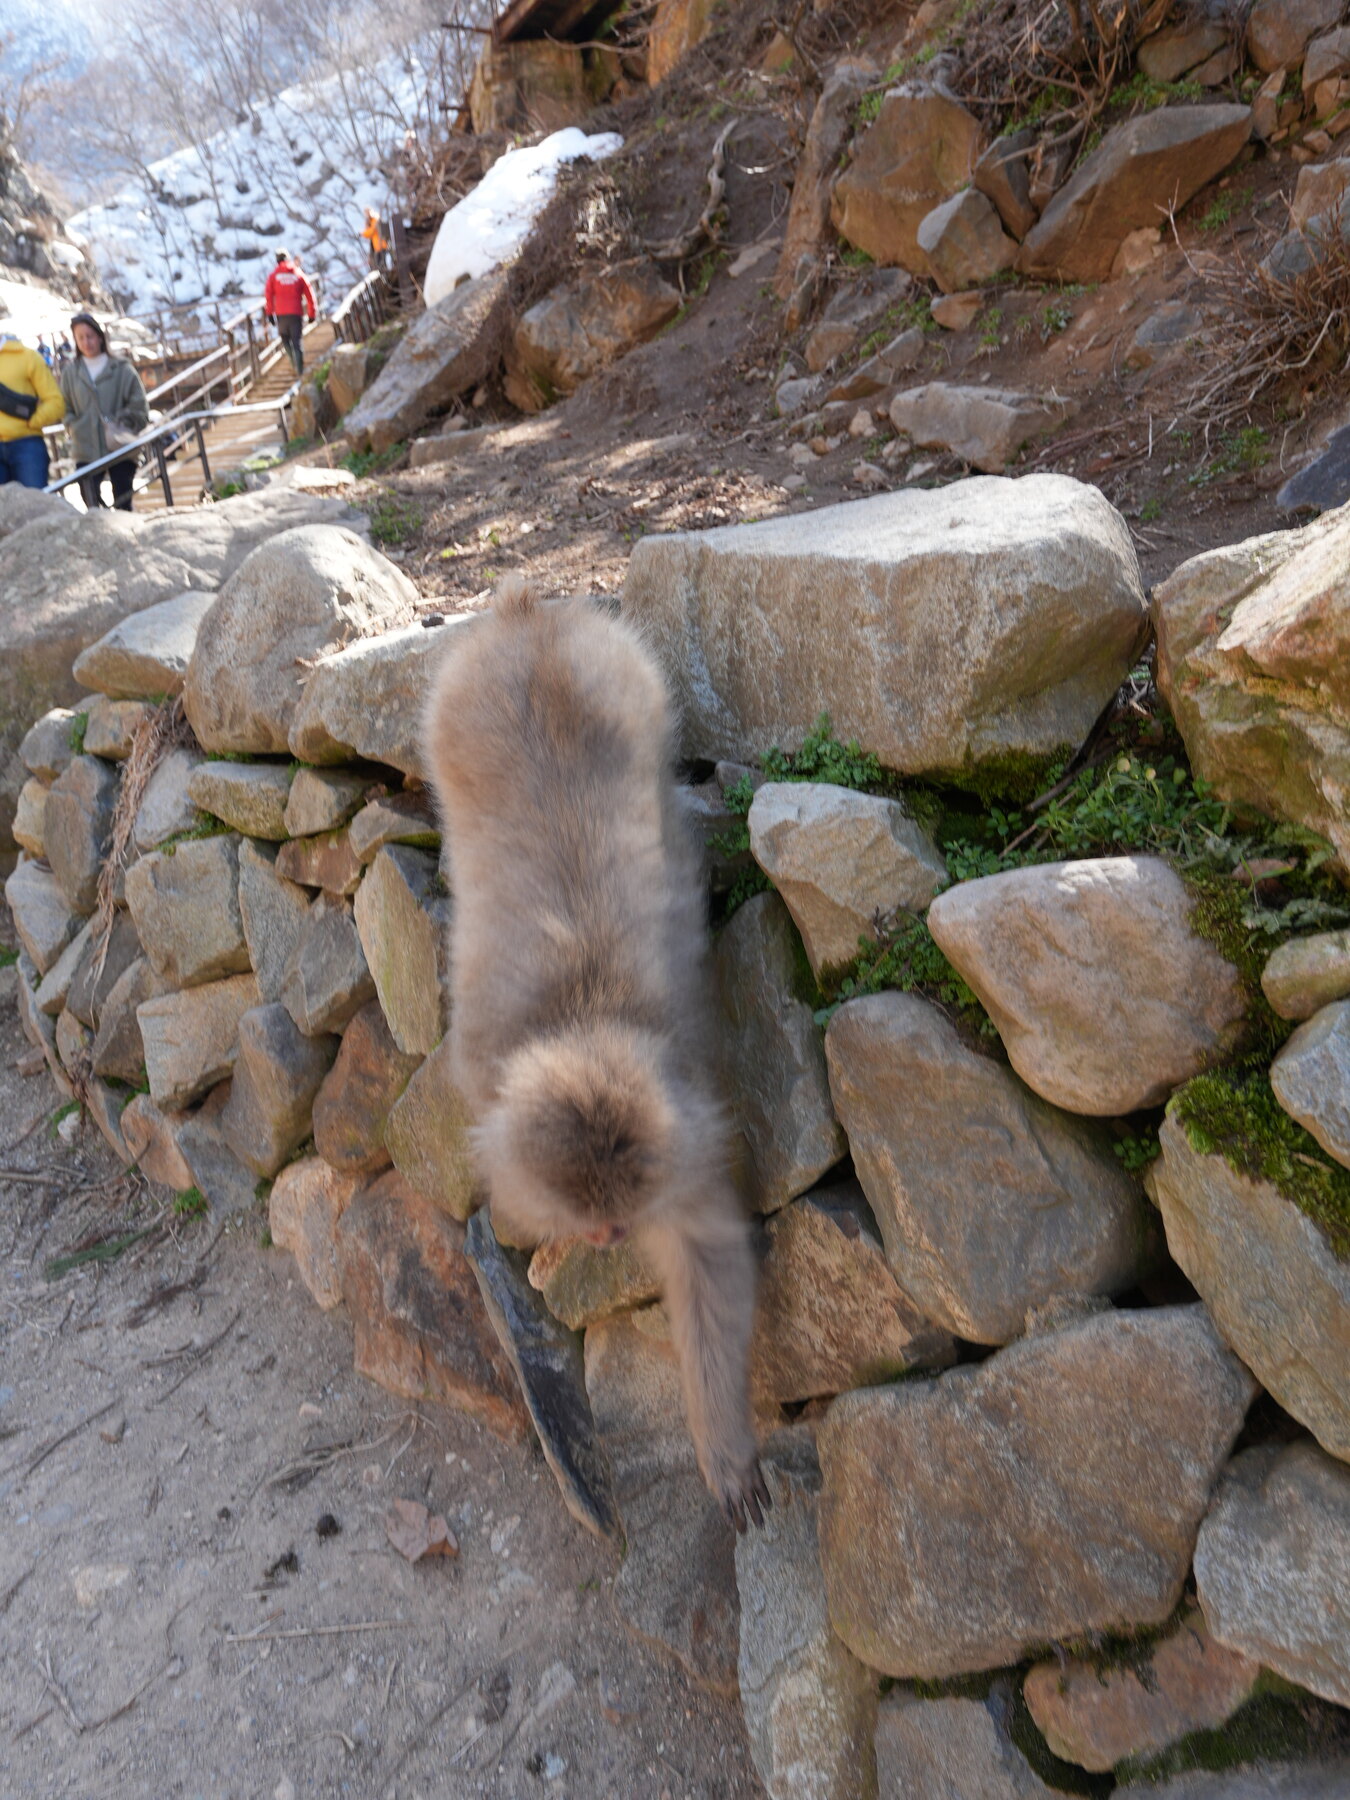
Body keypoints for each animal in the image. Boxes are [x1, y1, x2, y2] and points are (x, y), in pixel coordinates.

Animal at [422, 577, 769, 1531]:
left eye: (621, 1210)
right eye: (594, 1212)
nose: (609, 1235)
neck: (582, 1030)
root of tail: (527, 617)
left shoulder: (684, 1142)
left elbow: (708, 1263)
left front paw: (722, 1448)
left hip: (631, 686)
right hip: (451, 716)